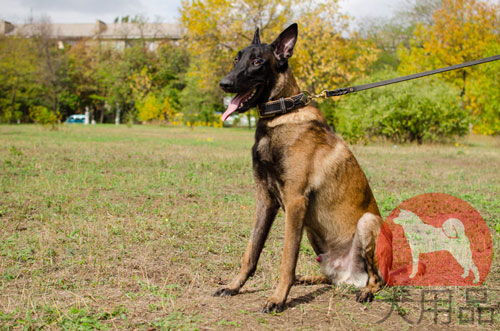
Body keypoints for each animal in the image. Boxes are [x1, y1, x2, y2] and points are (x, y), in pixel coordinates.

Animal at [211, 23, 390, 314]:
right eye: (236, 59)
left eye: (257, 62)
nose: (224, 83)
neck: (281, 115)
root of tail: (351, 276)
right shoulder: (266, 199)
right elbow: (251, 250)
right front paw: (234, 286)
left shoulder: (295, 201)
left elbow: (287, 258)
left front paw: (277, 298)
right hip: (314, 234)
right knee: (332, 279)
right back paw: (311, 278)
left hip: (367, 222)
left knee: (378, 279)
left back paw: (366, 292)